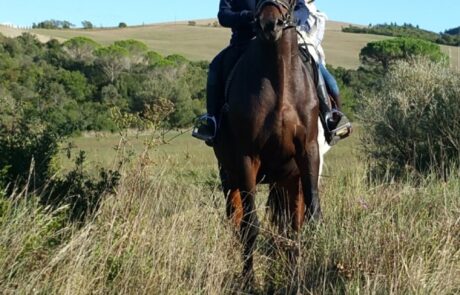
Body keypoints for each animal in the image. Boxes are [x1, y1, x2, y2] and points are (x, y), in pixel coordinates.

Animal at [212, 0, 328, 278]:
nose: (269, 25)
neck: (280, 80)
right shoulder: (247, 158)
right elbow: (250, 226)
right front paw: (248, 280)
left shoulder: (309, 153)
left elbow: (312, 217)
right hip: (230, 176)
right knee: (236, 220)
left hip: (289, 180)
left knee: (292, 224)